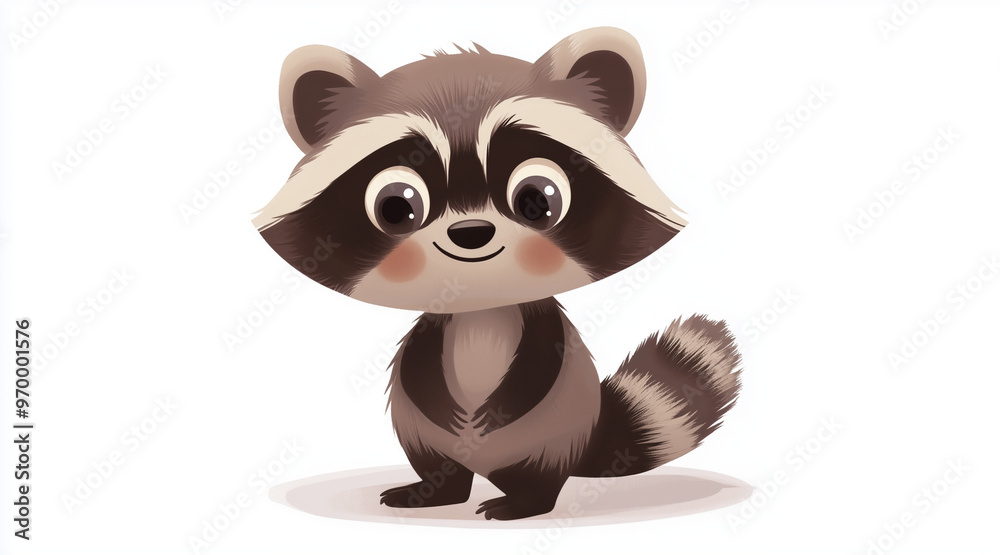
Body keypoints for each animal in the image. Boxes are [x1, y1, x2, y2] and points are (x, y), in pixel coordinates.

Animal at [254, 27, 742, 520]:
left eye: (537, 199)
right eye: (395, 206)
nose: (471, 233)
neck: (480, 309)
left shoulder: (541, 327)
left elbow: (544, 356)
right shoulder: (434, 332)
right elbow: (418, 363)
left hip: (552, 433)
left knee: (539, 476)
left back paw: (522, 501)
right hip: (421, 433)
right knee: (440, 467)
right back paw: (434, 491)